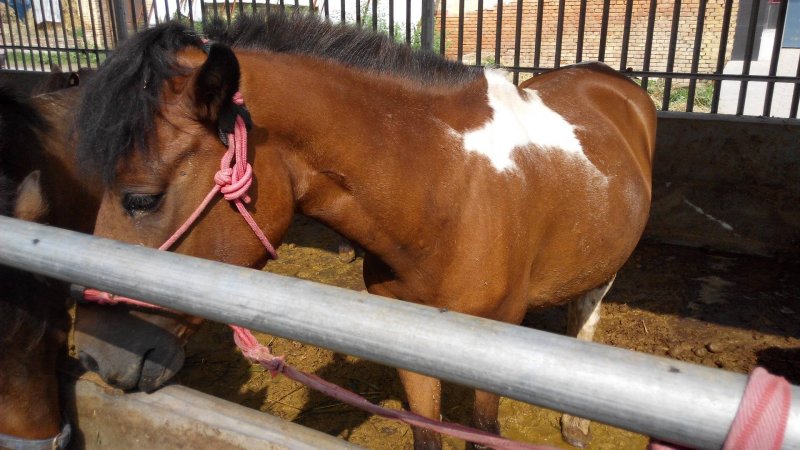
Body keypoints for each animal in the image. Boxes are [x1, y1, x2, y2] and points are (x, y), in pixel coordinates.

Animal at [73, 13, 656, 446]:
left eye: (142, 198)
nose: (95, 355)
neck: (449, 194)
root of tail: (613, 80)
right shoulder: (412, 348)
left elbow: (483, 430)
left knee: (586, 315)